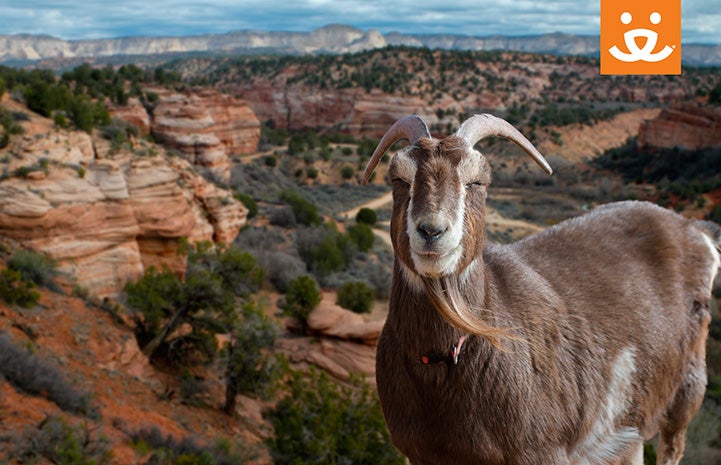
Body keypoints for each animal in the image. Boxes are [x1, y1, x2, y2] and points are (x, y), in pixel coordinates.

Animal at [362, 114, 716, 464]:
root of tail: (695, 229)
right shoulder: (420, 454)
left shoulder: (539, 451)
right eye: (399, 179)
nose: (432, 231)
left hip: (687, 390)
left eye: (477, 181)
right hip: (629, 425)